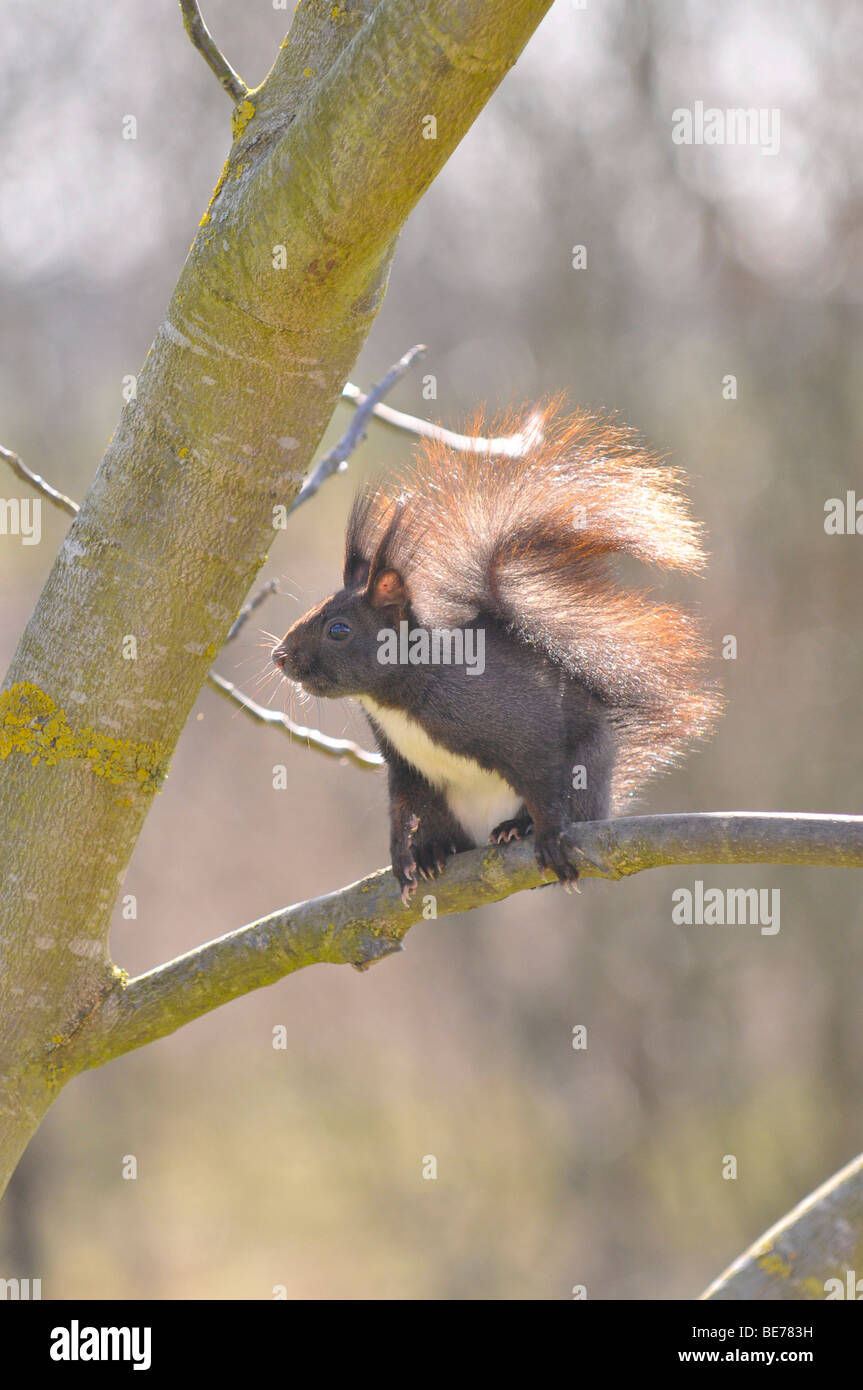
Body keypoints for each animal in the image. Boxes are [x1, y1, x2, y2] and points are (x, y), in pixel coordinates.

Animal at [272, 403, 717, 900]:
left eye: (339, 630)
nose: (280, 657)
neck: (396, 698)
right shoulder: (402, 765)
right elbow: (400, 805)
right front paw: (401, 856)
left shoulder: (517, 725)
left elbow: (539, 773)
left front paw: (547, 835)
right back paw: (434, 850)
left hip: (585, 773)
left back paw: (517, 829)